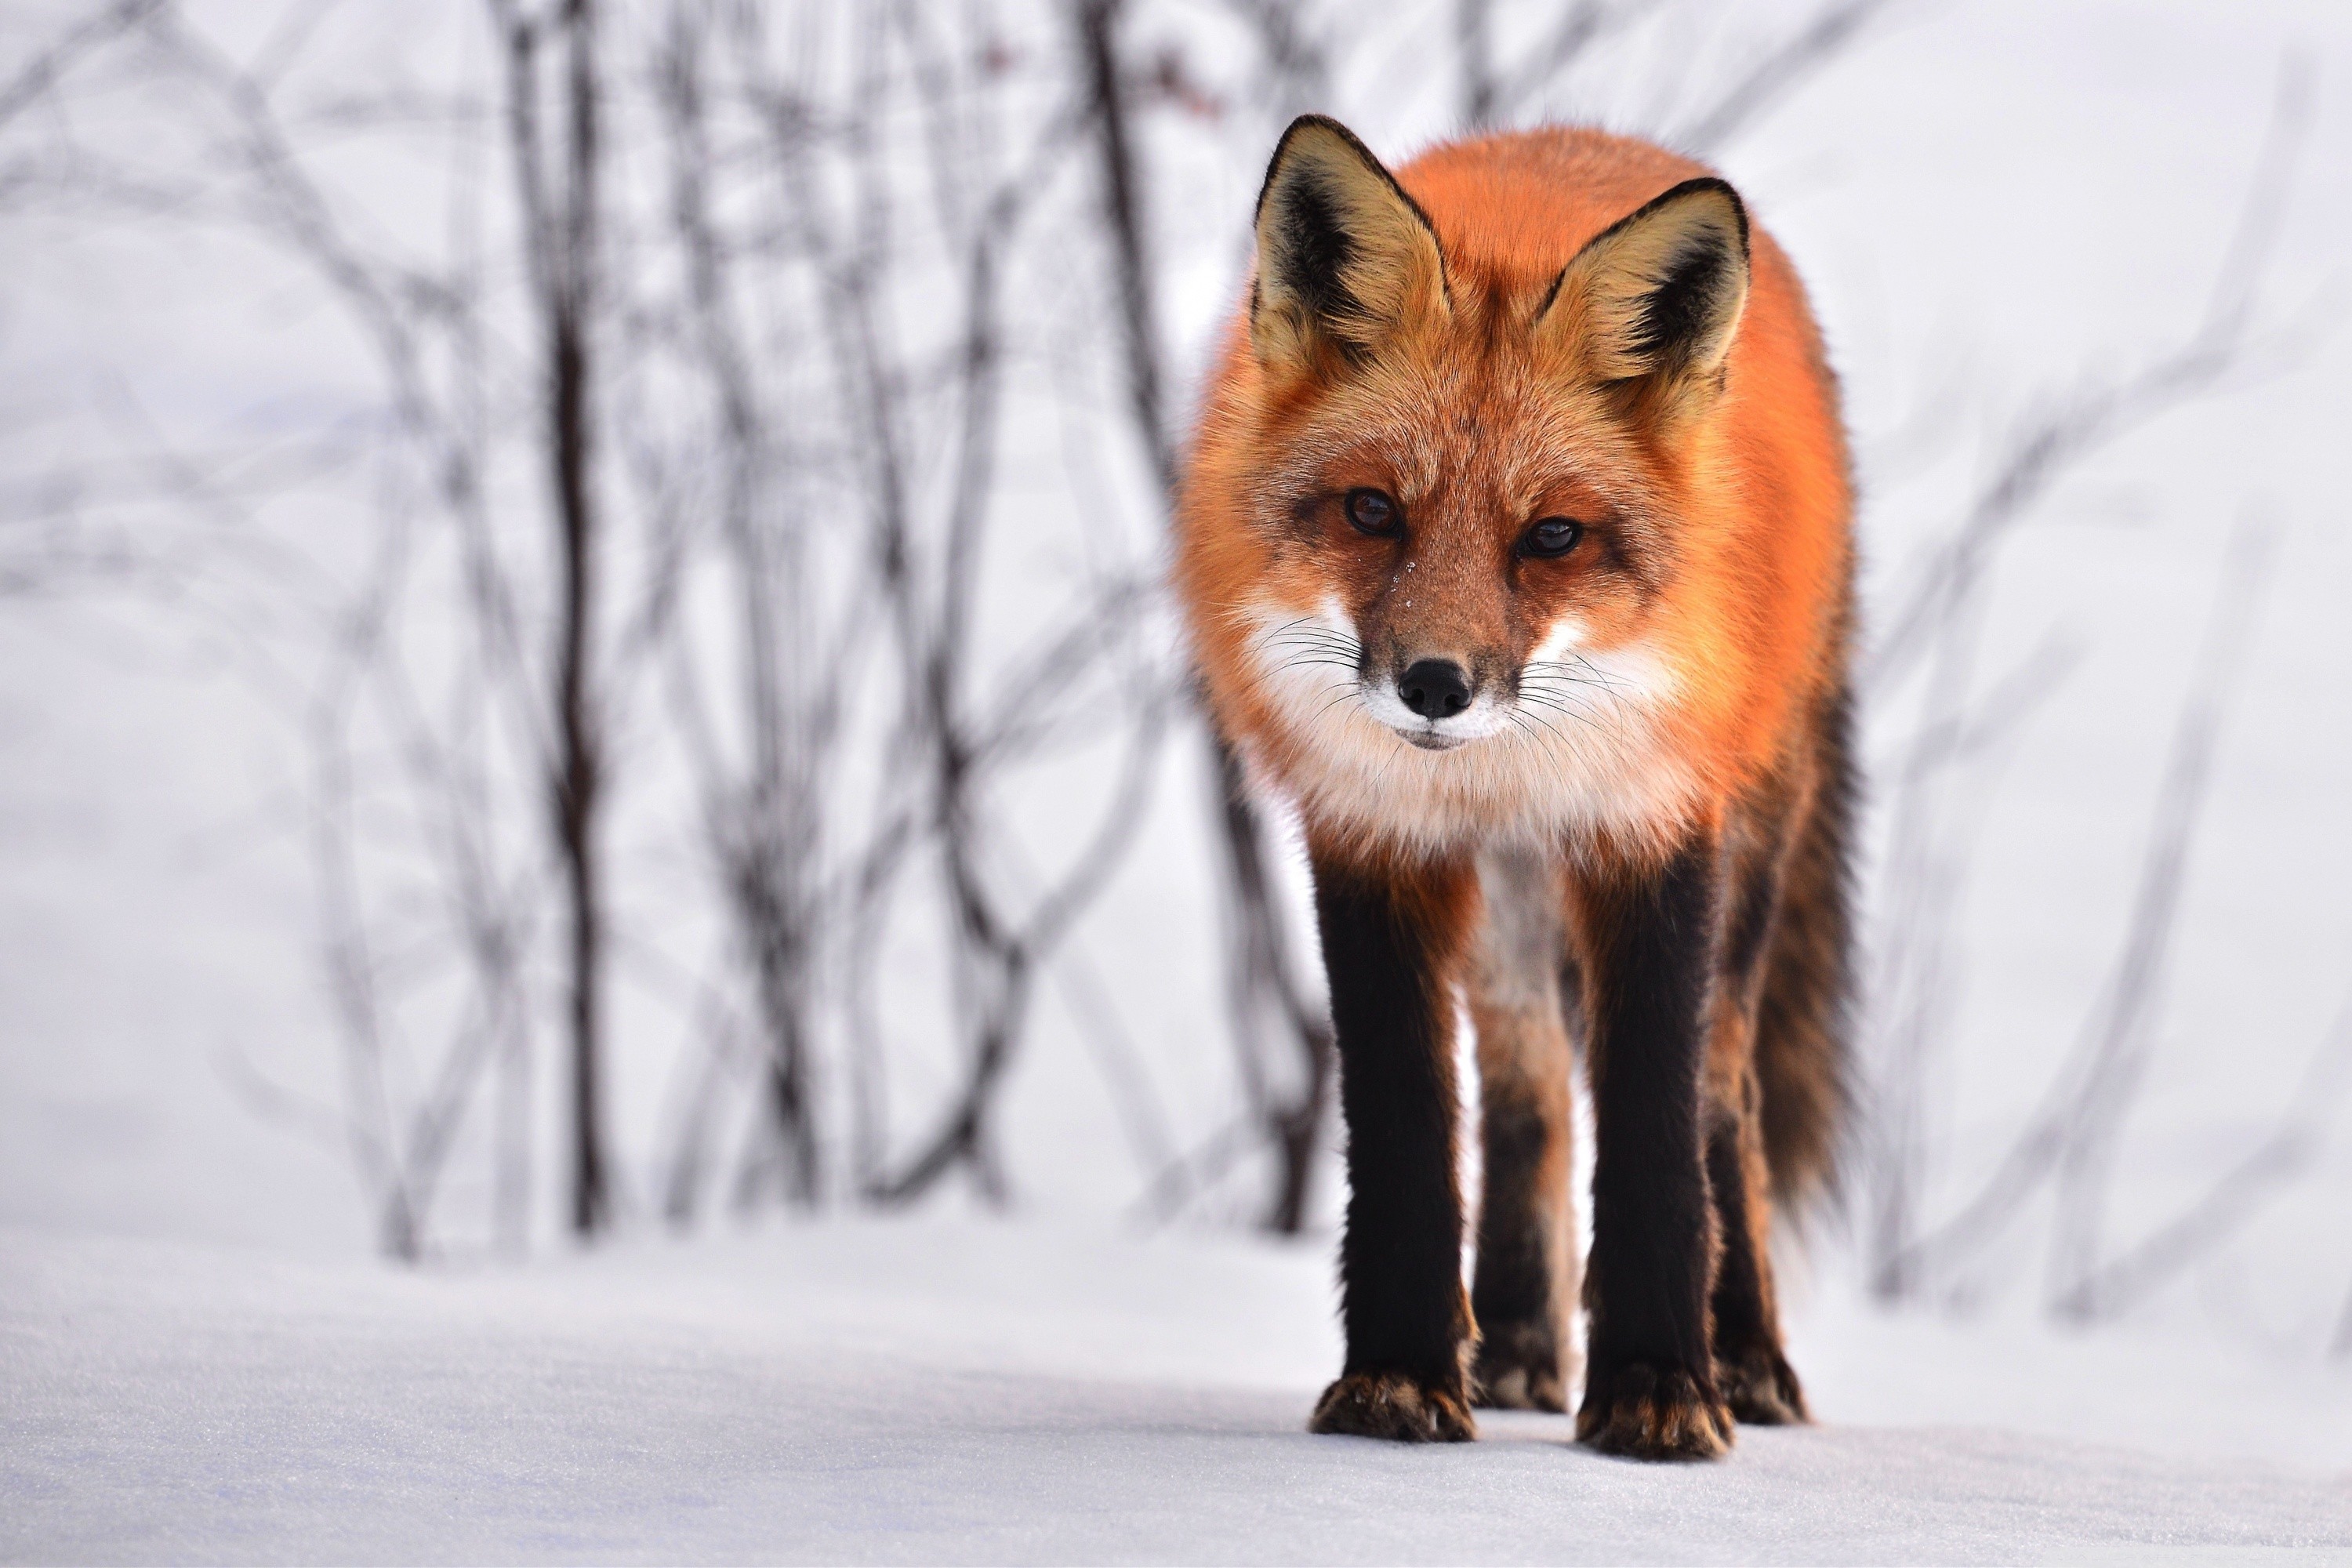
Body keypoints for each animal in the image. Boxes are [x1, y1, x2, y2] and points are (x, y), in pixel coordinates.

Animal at [1174, 117, 1855, 1462]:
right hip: (1506, 911)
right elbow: (1407, 1132)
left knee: (1725, 1097)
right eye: (1372, 511)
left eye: (1551, 538)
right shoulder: (1374, 838)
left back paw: (1747, 1356)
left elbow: (1653, 1134)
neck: (1506, 766)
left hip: (1748, 850)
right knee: (1527, 1090)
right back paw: (1522, 1344)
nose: (1435, 686)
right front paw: (1397, 1376)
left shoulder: (1652, 831)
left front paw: (1658, 1387)